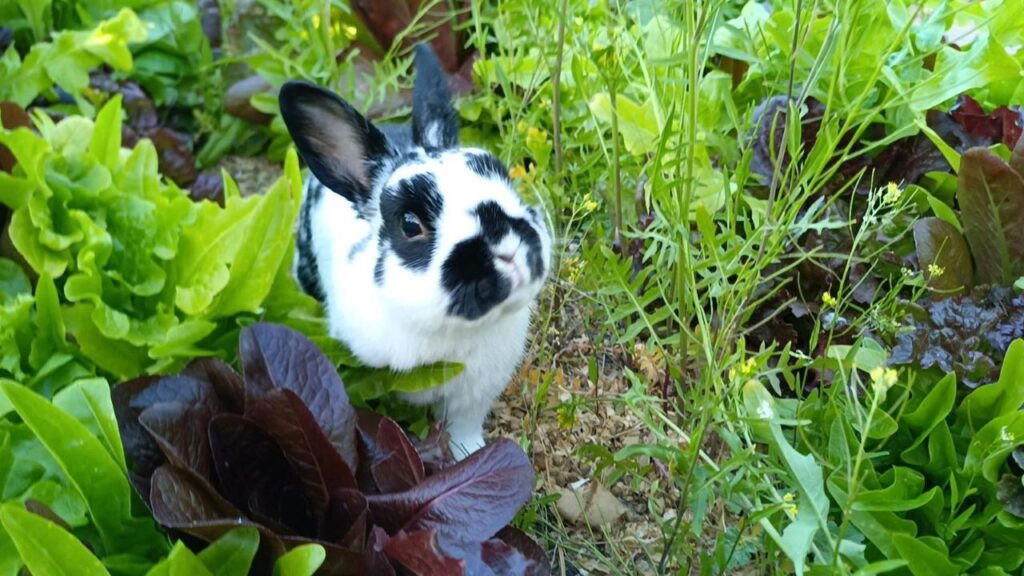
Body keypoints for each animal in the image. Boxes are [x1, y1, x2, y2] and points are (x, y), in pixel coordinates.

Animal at [278, 44, 551, 459]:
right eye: (410, 224)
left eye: (504, 177)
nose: (509, 249)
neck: (449, 331)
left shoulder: (474, 395)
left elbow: (464, 428)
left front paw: (470, 454)